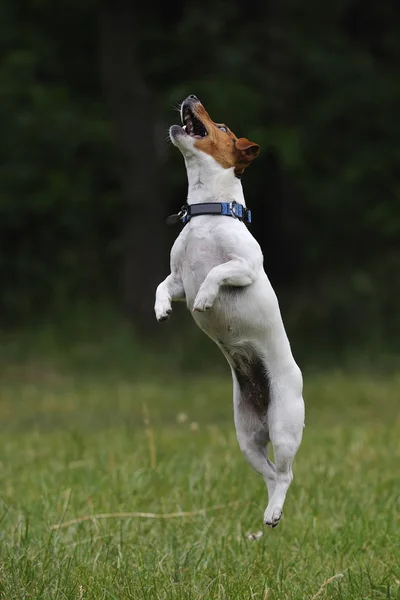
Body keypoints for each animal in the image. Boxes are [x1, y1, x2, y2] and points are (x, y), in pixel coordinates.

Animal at [155, 96, 304, 528]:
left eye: (221, 126)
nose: (190, 97)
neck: (208, 212)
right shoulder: (178, 280)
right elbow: (163, 287)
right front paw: (161, 309)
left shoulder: (245, 268)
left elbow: (216, 273)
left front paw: (207, 299)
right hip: (247, 437)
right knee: (269, 474)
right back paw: (269, 509)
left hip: (284, 425)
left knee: (286, 473)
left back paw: (275, 512)